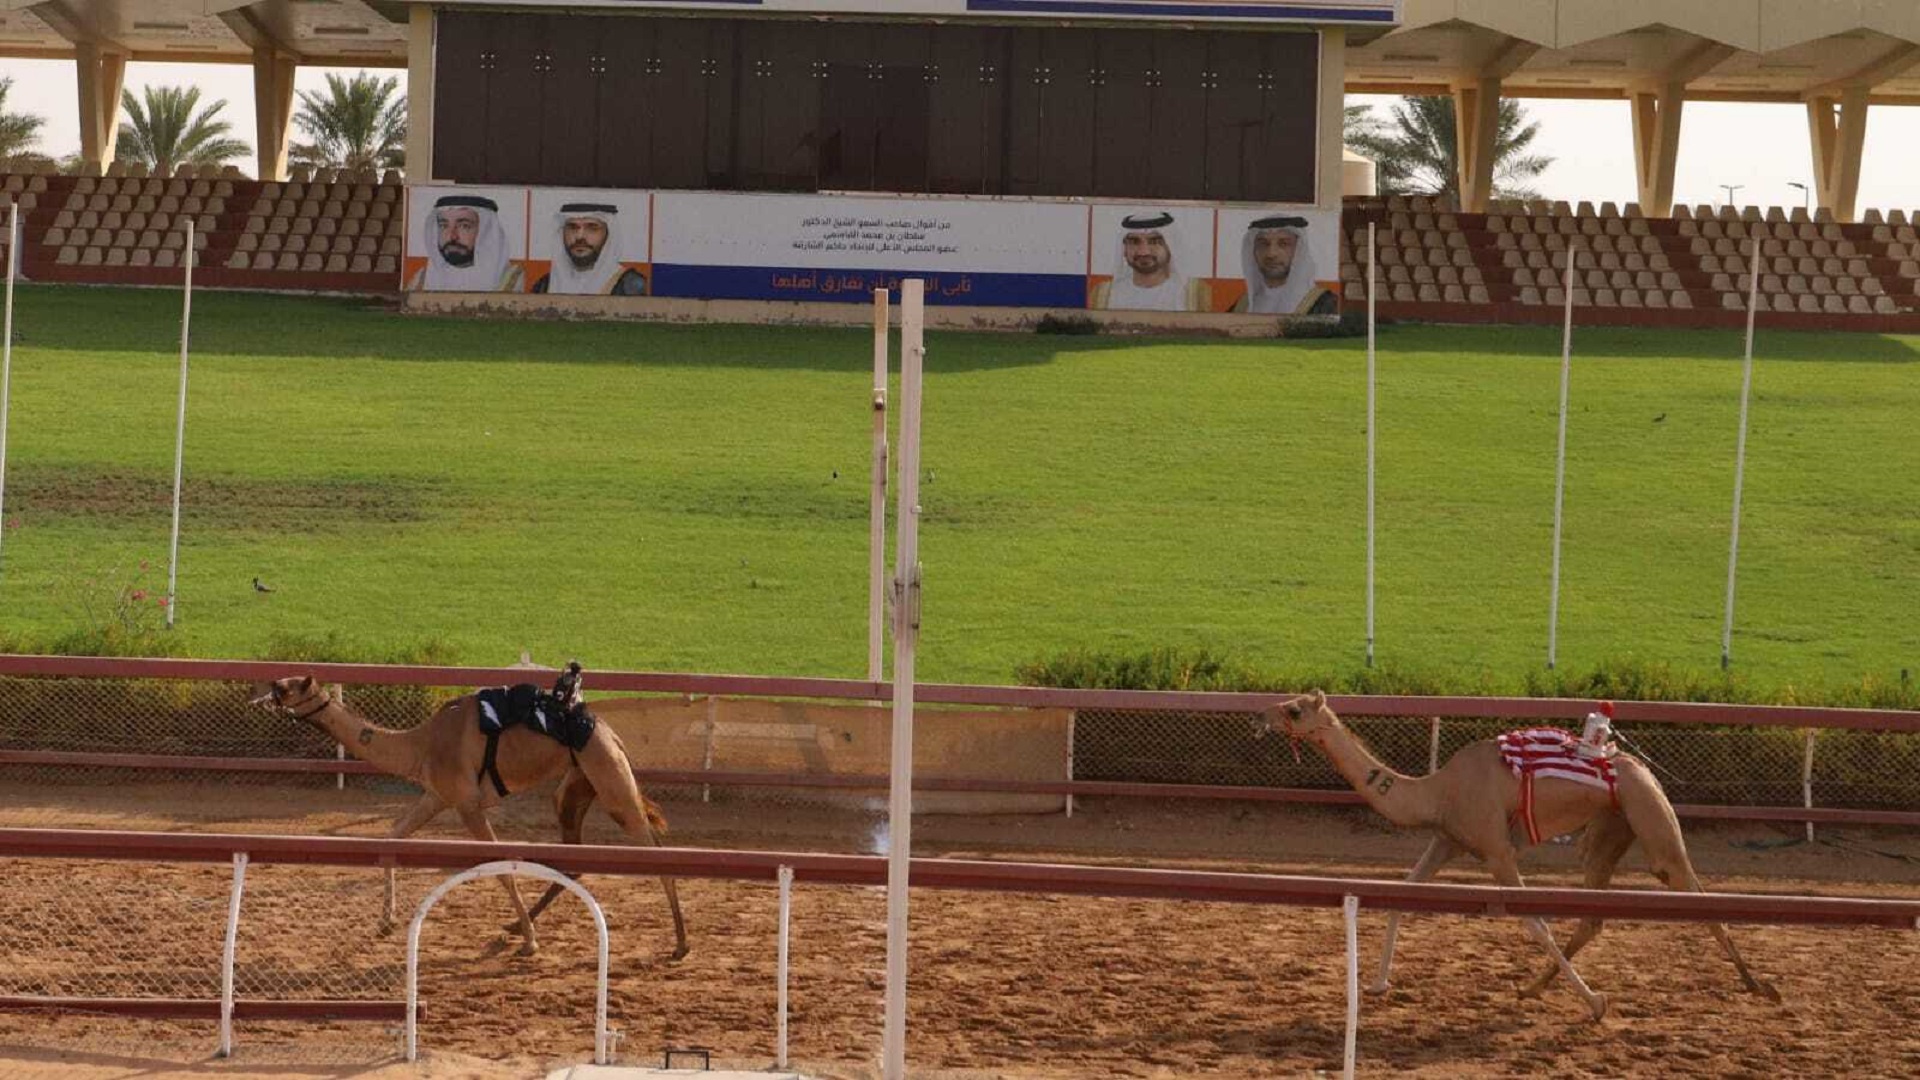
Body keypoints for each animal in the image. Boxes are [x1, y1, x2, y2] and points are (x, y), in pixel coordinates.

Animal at [259, 668, 687, 953]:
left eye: (286, 686)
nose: (265, 692)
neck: (420, 745)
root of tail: (614, 735)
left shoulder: (467, 803)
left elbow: (501, 868)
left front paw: (531, 943)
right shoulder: (436, 796)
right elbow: (392, 838)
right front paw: (385, 922)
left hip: (608, 777)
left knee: (653, 847)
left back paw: (681, 943)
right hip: (576, 786)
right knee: (574, 856)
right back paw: (515, 924)